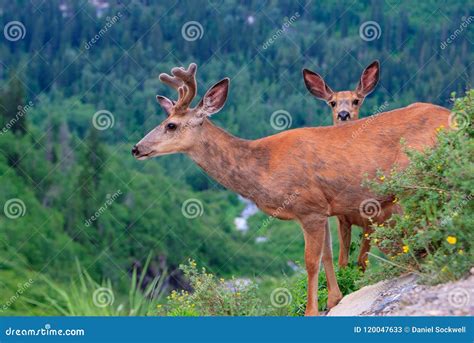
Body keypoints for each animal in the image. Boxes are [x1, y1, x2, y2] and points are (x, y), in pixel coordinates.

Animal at [132, 62, 448, 318]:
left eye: (171, 125)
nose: (136, 148)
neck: (263, 167)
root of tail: (452, 115)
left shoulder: (308, 208)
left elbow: (310, 262)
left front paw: (311, 310)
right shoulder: (323, 209)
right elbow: (329, 256)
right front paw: (334, 300)